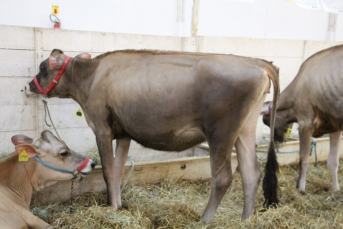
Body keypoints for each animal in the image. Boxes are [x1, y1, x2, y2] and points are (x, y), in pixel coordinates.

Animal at [26, 48, 280, 222]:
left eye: (42, 67)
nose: (30, 85)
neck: (91, 78)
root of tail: (257, 62)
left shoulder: (101, 127)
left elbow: (108, 172)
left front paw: (111, 207)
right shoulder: (124, 133)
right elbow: (118, 171)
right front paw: (118, 205)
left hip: (220, 133)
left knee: (223, 177)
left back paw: (204, 220)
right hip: (245, 129)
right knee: (250, 173)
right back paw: (245, 220)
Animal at [264, 44, 343, 191]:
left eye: (266, 122)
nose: (278, 140)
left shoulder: (306, 122)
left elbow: (303, 159)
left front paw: (300, 188)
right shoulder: (334, 125)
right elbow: (333, 161)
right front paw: (336, 189)